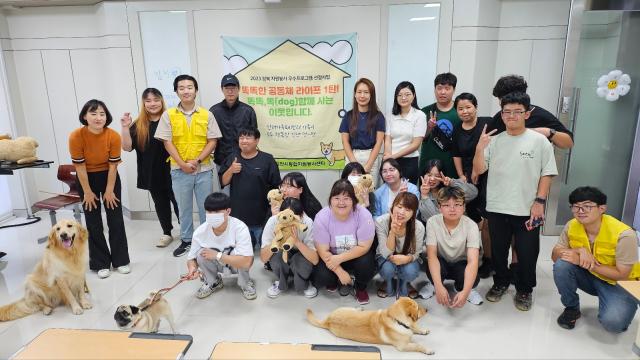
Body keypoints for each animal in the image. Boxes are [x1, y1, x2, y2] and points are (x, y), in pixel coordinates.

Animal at [306, 296, 436, 354]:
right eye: (418, 308)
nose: (427, 309)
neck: (396, 320)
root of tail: (328, 320)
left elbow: (415, 328)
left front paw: (423, 330)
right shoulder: (402, 346)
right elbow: (417, 345)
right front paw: (428, 350)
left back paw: (359, 308)